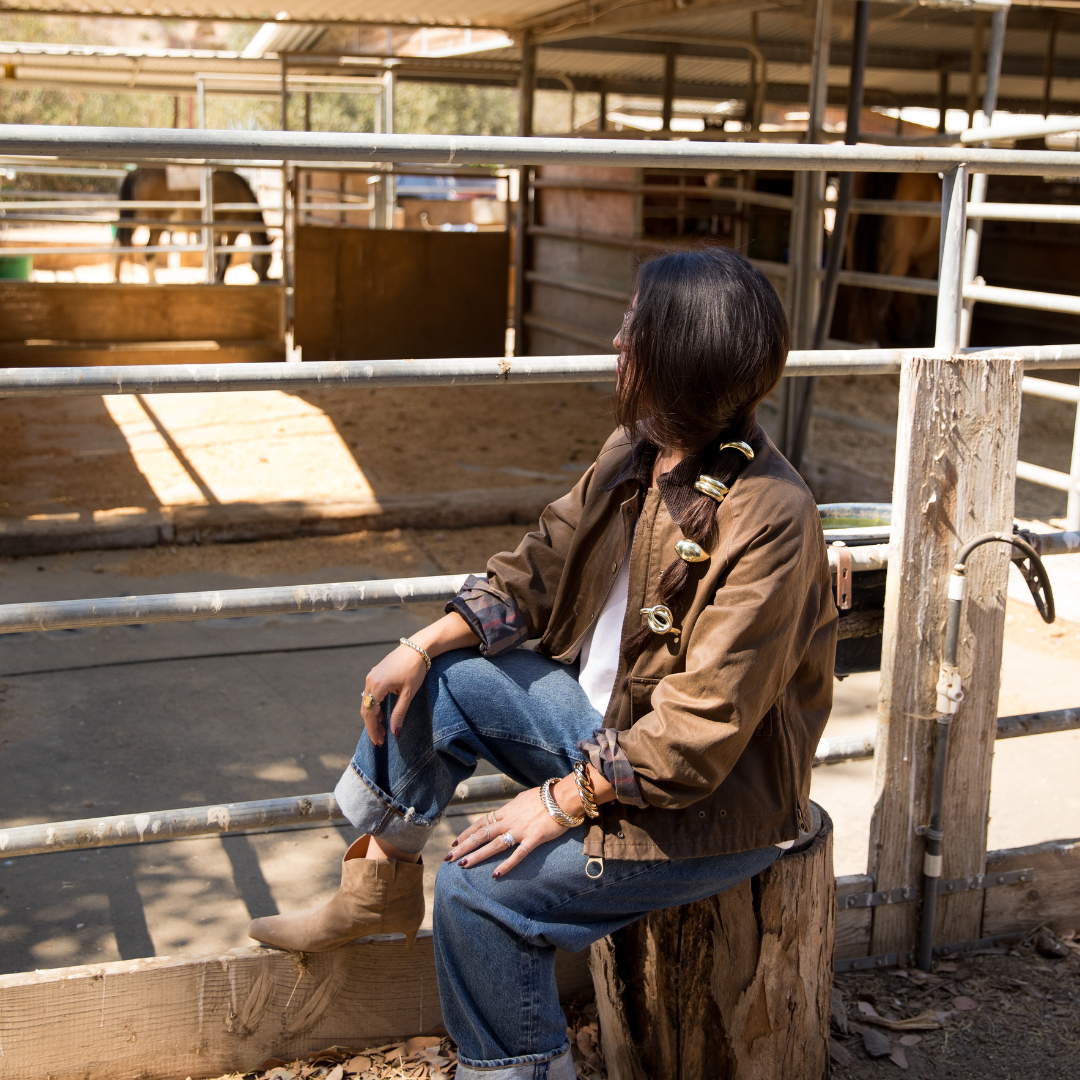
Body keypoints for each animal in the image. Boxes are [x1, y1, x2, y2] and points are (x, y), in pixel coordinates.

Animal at [113, 166, 272, 285]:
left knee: (119, 246)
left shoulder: (216, 232)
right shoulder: (232, 230)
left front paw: (215, 277)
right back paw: (154, 282)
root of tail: (136, 173)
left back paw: (117, 279)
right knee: (148, 252)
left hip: (133, 221)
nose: (265, 278)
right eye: (269, 258)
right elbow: (226, 257)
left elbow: (216, 256)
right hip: (157, 223)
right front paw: (220, 279)